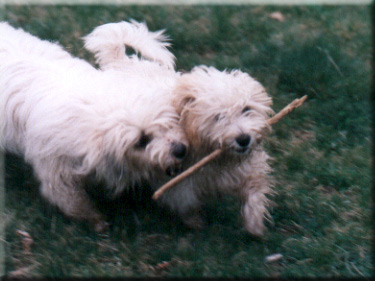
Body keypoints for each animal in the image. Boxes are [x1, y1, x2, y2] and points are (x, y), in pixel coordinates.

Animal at [0, 22, 188, 230]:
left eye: (172, 121)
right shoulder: (56, 171)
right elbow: (73, 202)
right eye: (141, 140)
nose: (180, 150)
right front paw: (97, 222)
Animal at [83, 19, 274, 235]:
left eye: (246, 109)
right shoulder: (180, 185)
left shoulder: (245, 171)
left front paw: (255, 224)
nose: (243, 139)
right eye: (218, 117)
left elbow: (254, 191)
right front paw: (196, 223)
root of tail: (121, 61)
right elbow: (186, 204)